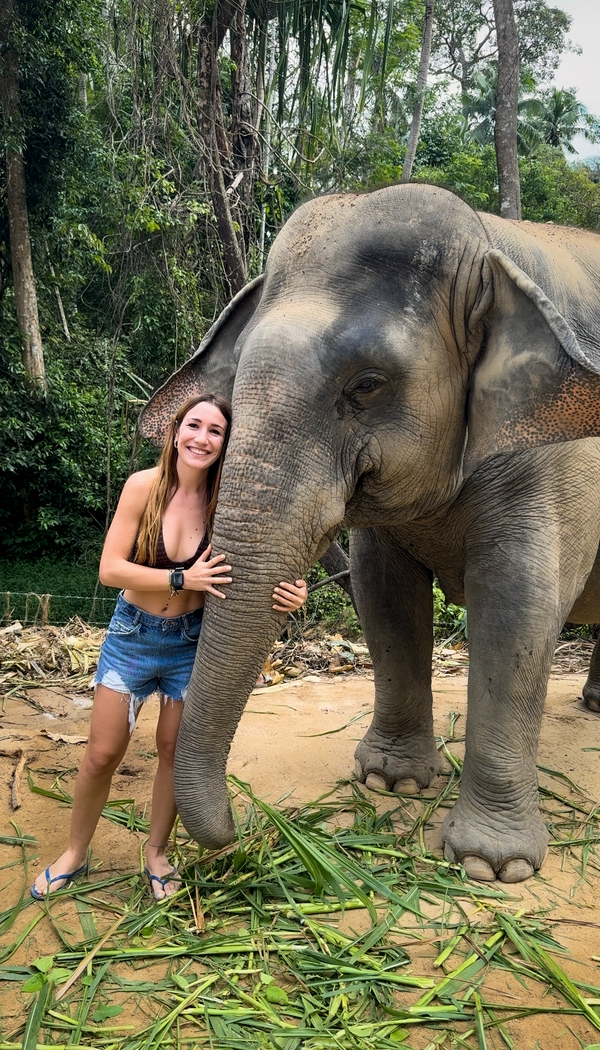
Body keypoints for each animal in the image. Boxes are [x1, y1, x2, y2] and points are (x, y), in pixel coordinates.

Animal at [139, 183, 600, 884]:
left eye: (367, 385)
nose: (244, 824)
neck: (488, 244)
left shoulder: (557, 460)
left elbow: (517, 612)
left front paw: (490, 867)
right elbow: (384, 596)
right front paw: (390, 783)